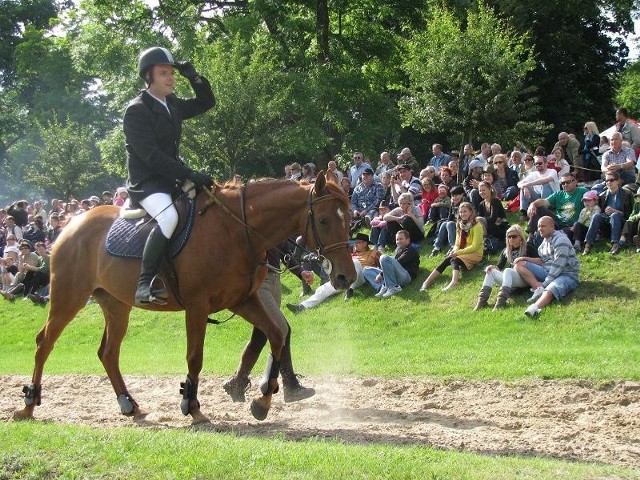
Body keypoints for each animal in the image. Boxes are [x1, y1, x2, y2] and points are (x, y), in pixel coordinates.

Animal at [13, 170, 356, 424]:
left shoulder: (242, 300)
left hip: (116, 305)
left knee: (108, 353)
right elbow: (195, 357)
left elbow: (276, 334)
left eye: (350, 218)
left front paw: (262, 401)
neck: (235, 230)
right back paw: (29, 403)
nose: (345, 277)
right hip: (68, 298)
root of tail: (72, 224)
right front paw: (192, 407)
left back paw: (129, 405)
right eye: (324, 220)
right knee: (45, 343)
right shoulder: (197, 306)